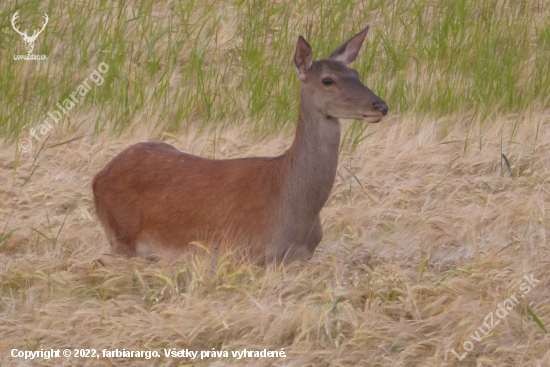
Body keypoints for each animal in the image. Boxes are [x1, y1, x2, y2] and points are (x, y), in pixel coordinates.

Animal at [92, 25, 390, 264]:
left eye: (356, 73)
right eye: (328, 80)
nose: (381, 105)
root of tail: (99, 176)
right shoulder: (242, 252)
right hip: (122, 237)